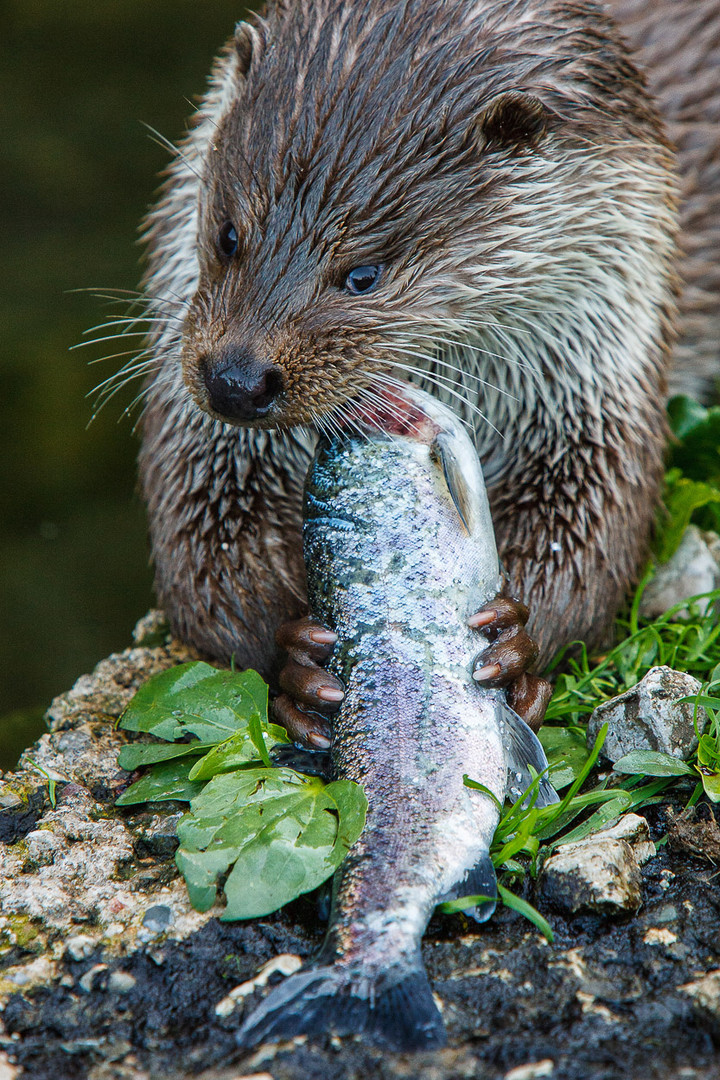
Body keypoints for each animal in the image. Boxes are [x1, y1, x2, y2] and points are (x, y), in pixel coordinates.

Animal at [138, 0, 716, 738]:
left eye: (364, 274)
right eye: (228, 234)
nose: (237, 379)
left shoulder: (598, 377)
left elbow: (588, 543)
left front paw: (514, 641)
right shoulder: (202, 439)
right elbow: (205, 565)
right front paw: (294, 660)